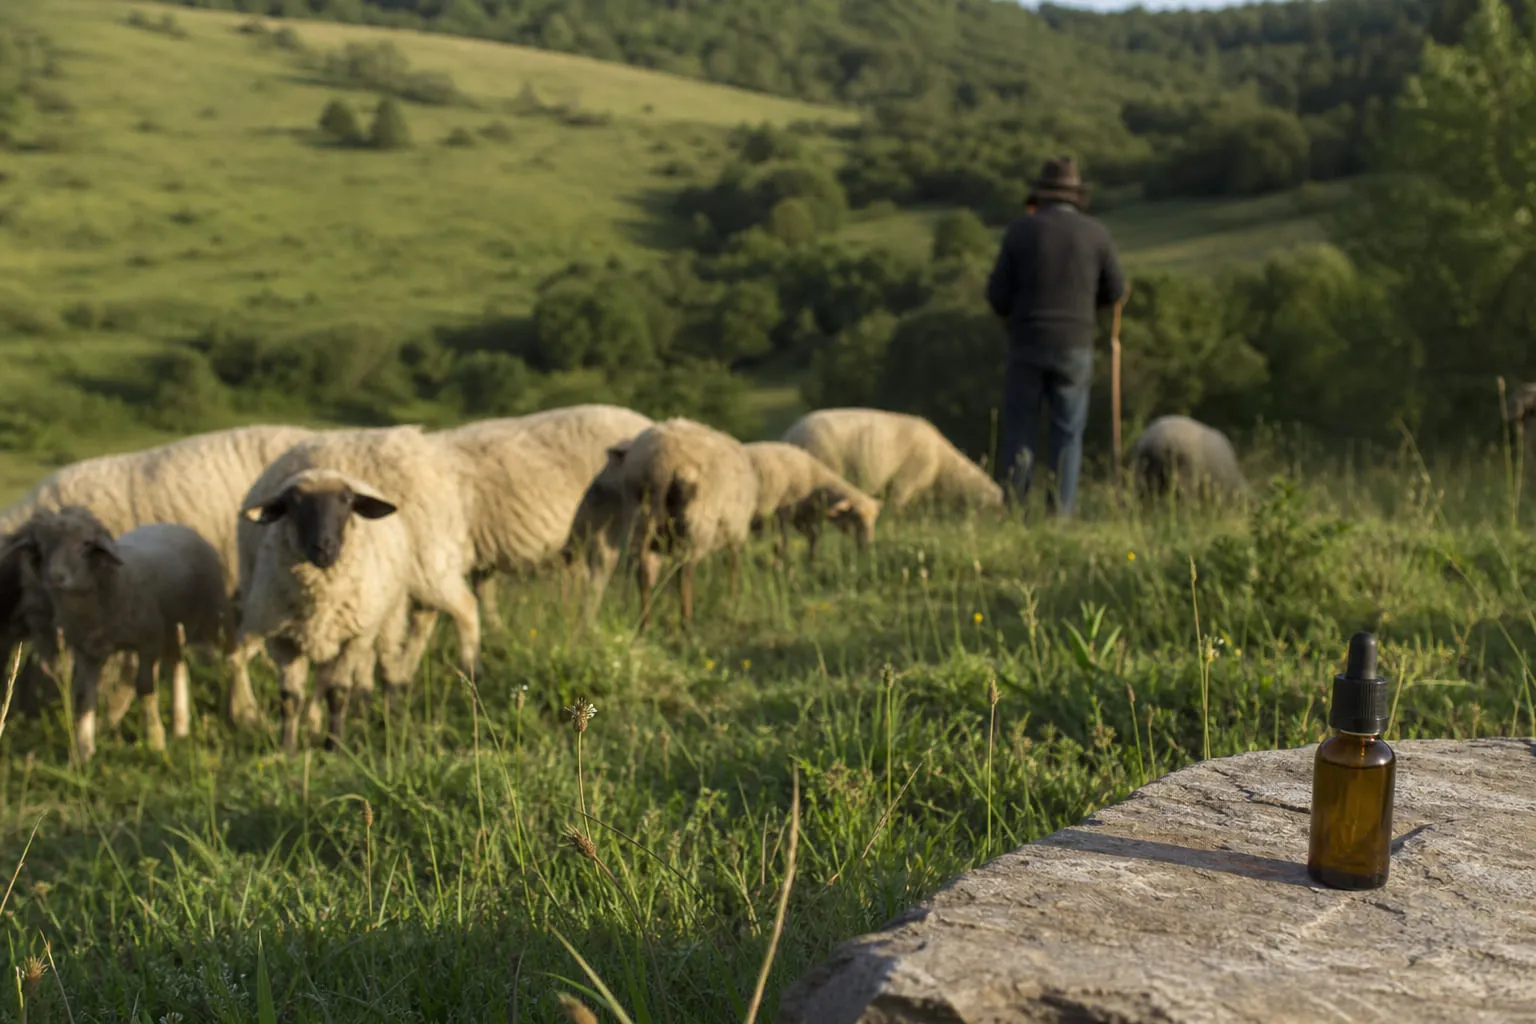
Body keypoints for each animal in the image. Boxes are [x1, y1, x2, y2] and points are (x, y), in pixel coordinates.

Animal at [2, 507, 236, 762]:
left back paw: (242, 708)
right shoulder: (88, 652)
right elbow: (83, 698)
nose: (56, 577)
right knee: (178, 666)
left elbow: (145, 688)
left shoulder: (148, 642)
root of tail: (176, 526)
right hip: (173, 630)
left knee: (232, 655)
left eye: (86, 544)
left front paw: (155, 741)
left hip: (213, 617)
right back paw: (181, 727)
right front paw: (82, 752)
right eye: (41, 546)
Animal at [238, 425, 483, 751]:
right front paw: (288, 750)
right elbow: (290, 699)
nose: (325, 547)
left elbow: (337, 692)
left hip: (406, 591)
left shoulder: (354, 636)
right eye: (292, 504)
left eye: (346, 501)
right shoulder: (283, 638)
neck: (320, 597)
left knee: (410, 645)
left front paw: (335, 747)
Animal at [617, 417, 759, 627]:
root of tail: (660, 461)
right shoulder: (735, 532)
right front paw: (734, 600)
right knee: (684, 572)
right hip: (694, 521)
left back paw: (646, 623)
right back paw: (687, 621)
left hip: (640, 516)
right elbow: (733, 566)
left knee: (643, 569)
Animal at [744, 441, 882, 565]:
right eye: (856, 517)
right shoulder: (785, 512)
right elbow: (784, 541)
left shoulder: (800, 516)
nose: (869, 544)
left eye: (875, 519)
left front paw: (813, 562)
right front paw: (782, 562)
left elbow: (813, 537)